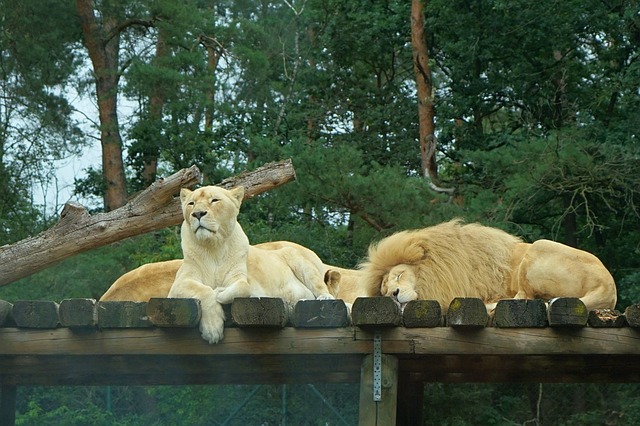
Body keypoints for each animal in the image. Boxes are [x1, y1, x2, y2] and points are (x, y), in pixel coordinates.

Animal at [364, 220, 620, 312]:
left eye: (398, 276)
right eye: (383, 291)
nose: (393, 295)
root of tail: (609, 287)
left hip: (539, 245)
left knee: (524, 297)